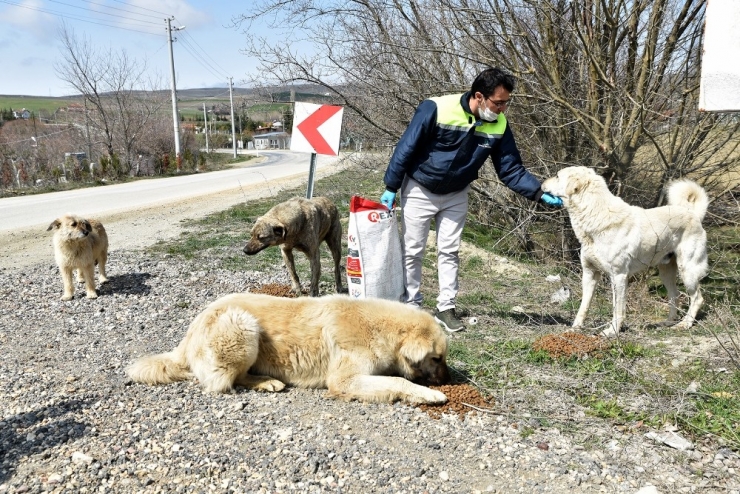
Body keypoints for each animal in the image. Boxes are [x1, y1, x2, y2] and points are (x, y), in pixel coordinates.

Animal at [126, 294, 448, 402]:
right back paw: (267, 382)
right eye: (436, 358)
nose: (448, 379)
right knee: (228, 380)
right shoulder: (344, 379)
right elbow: (396, 381)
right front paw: (429, 394)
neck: (380, 330)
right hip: (243, 324)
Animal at [544, 166, 712, 336]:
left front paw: (612, 331)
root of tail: (694, 214)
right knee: (675, 296)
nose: (542, 183)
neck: (596, 213)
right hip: (666, 272)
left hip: (688, 270)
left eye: (557, 176)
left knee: (697, 298)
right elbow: (583, 307)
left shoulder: (618, 276)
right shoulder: (590, 274)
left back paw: (685, 324)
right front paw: (575, 329)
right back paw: (668, 322)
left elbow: (618, 309)